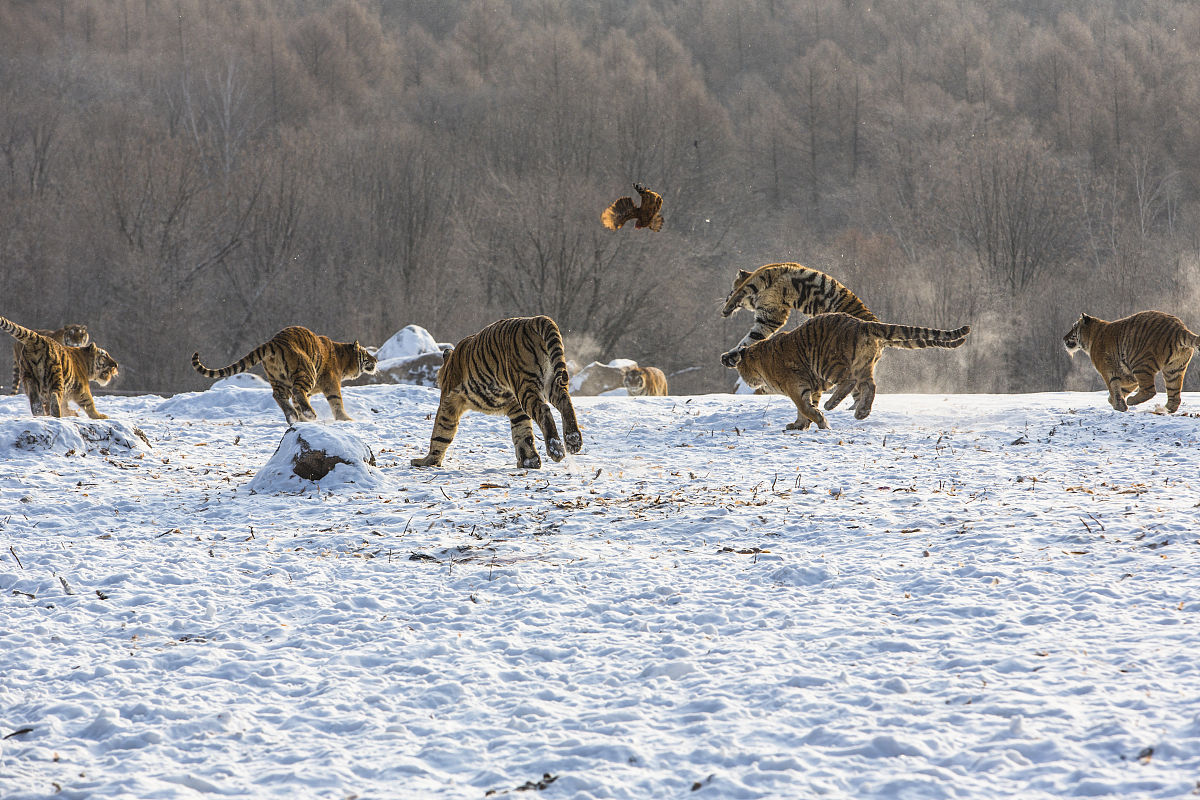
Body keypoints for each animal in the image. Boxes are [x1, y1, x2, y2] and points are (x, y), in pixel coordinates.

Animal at [189, 326, 376, 424]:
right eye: (366, 353)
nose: (376, 359)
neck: (344, 359)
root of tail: (274, 341)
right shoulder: (331, 383)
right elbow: (336, 401)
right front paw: (346, 419)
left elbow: (298, 402)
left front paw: (301, 419)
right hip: (307, 372)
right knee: (296, 392)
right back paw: (309, 414)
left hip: (278, 378)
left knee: (279, 395)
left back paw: (292, 416)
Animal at [410, 316, 583, 470]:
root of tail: (536, 320)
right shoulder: (516, 408)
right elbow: (523, 433)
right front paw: (530, 461)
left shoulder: (449, 400)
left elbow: (441, 431)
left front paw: (427, 461)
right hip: (551, 381)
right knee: (565, 402)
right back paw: (573, 440)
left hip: (525, 386)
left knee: (544, 410)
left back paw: (556, 449)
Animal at [715, 262, 878, 357]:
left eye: (730, 289)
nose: (725, 299)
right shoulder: (770, 315)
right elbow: (753, 336)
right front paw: (730, 356)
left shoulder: (767, 281)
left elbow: (743, 290)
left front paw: (726, 308)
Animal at [720, 311, 964, 431]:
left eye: (741, 370)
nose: (747, 383)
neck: (759, 356)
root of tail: (861, 324)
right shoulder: (811, 388)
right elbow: (804, 409)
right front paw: (799, 426)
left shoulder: (796, 387)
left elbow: (805, 408)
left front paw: (820, 421)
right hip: (865, 365)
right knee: (870, 385)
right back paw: (861, 412)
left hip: (829, 362)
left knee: (848, 381)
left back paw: (832, 405)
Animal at [1065, 309, 1195, 412]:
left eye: (1073, 327)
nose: (1063, 338)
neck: (1092, 336)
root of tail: (1180, 329)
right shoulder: (1128, 375)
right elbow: (1122, 389)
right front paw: (1115, 402)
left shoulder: (1107, 369)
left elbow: (1114, 387)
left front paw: (1119, 406)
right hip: (1174, 369)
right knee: (1175, 396)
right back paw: (1164, 410)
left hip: (1140, 363)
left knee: (1149, 390)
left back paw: (1132, 401)